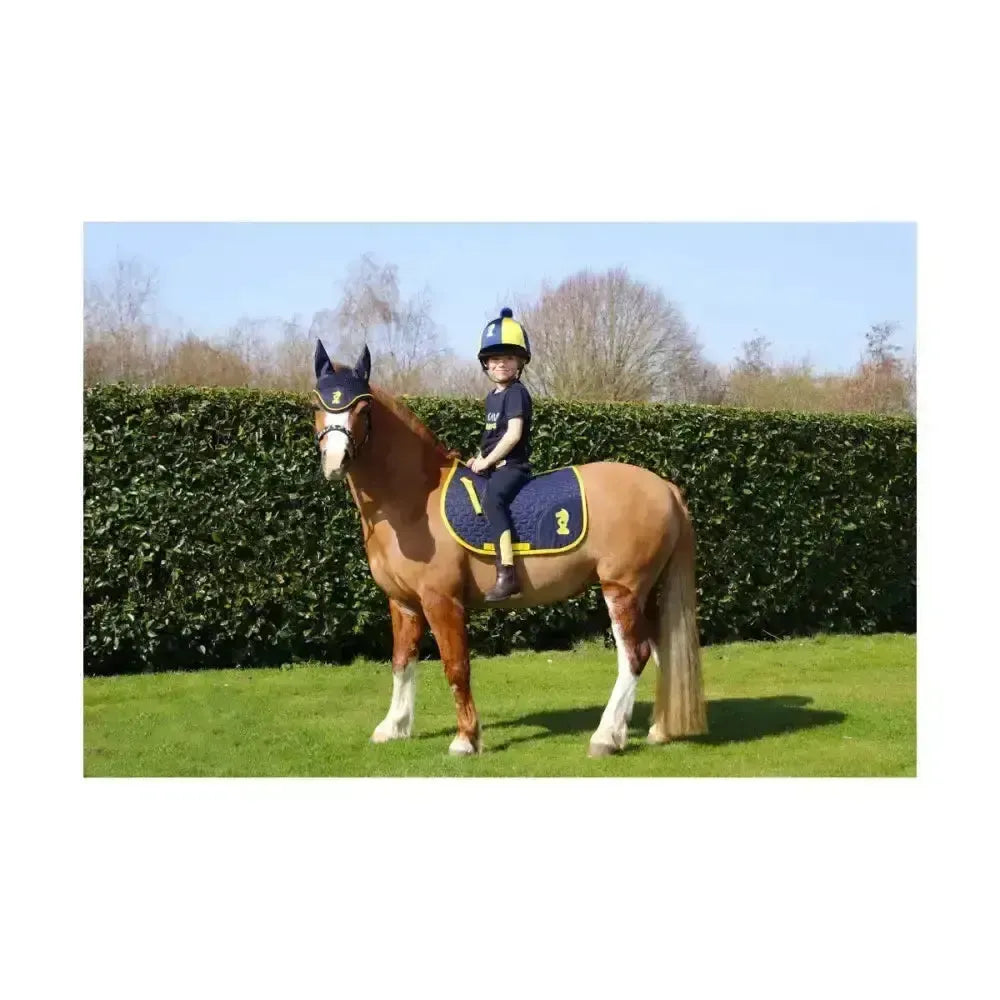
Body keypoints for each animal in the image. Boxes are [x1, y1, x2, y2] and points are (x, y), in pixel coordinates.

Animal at [312, 340, 707, 757]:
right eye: (317, 405)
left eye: (362, 407)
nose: (335, 461)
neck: (414, 500)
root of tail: (664, 487)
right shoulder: (403, 603)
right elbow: (402, 662)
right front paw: (393, 727)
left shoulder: (441, 601)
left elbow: (456, 666)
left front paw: (465, 739)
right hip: (646, 591)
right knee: (661, 649)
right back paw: (659, 730)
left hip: (623, 589)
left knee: (634, 654)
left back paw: (606, 737)